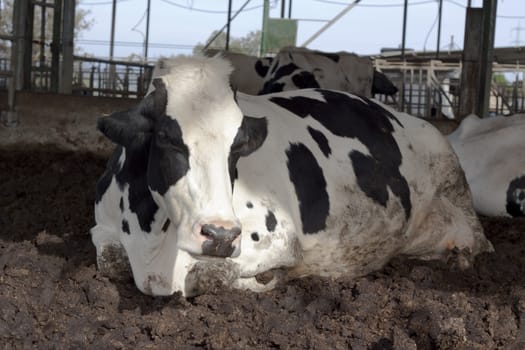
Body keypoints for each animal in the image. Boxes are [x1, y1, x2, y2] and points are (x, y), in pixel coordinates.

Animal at [89, 56, 492, 296]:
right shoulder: (102, 227)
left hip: (454, 183)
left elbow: (205, 277)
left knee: (478, 242)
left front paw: (266, 279)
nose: (220, 235)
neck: (152, 238)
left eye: (238, 146)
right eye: (168, 138)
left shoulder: (277, 237)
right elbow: (109, 262)